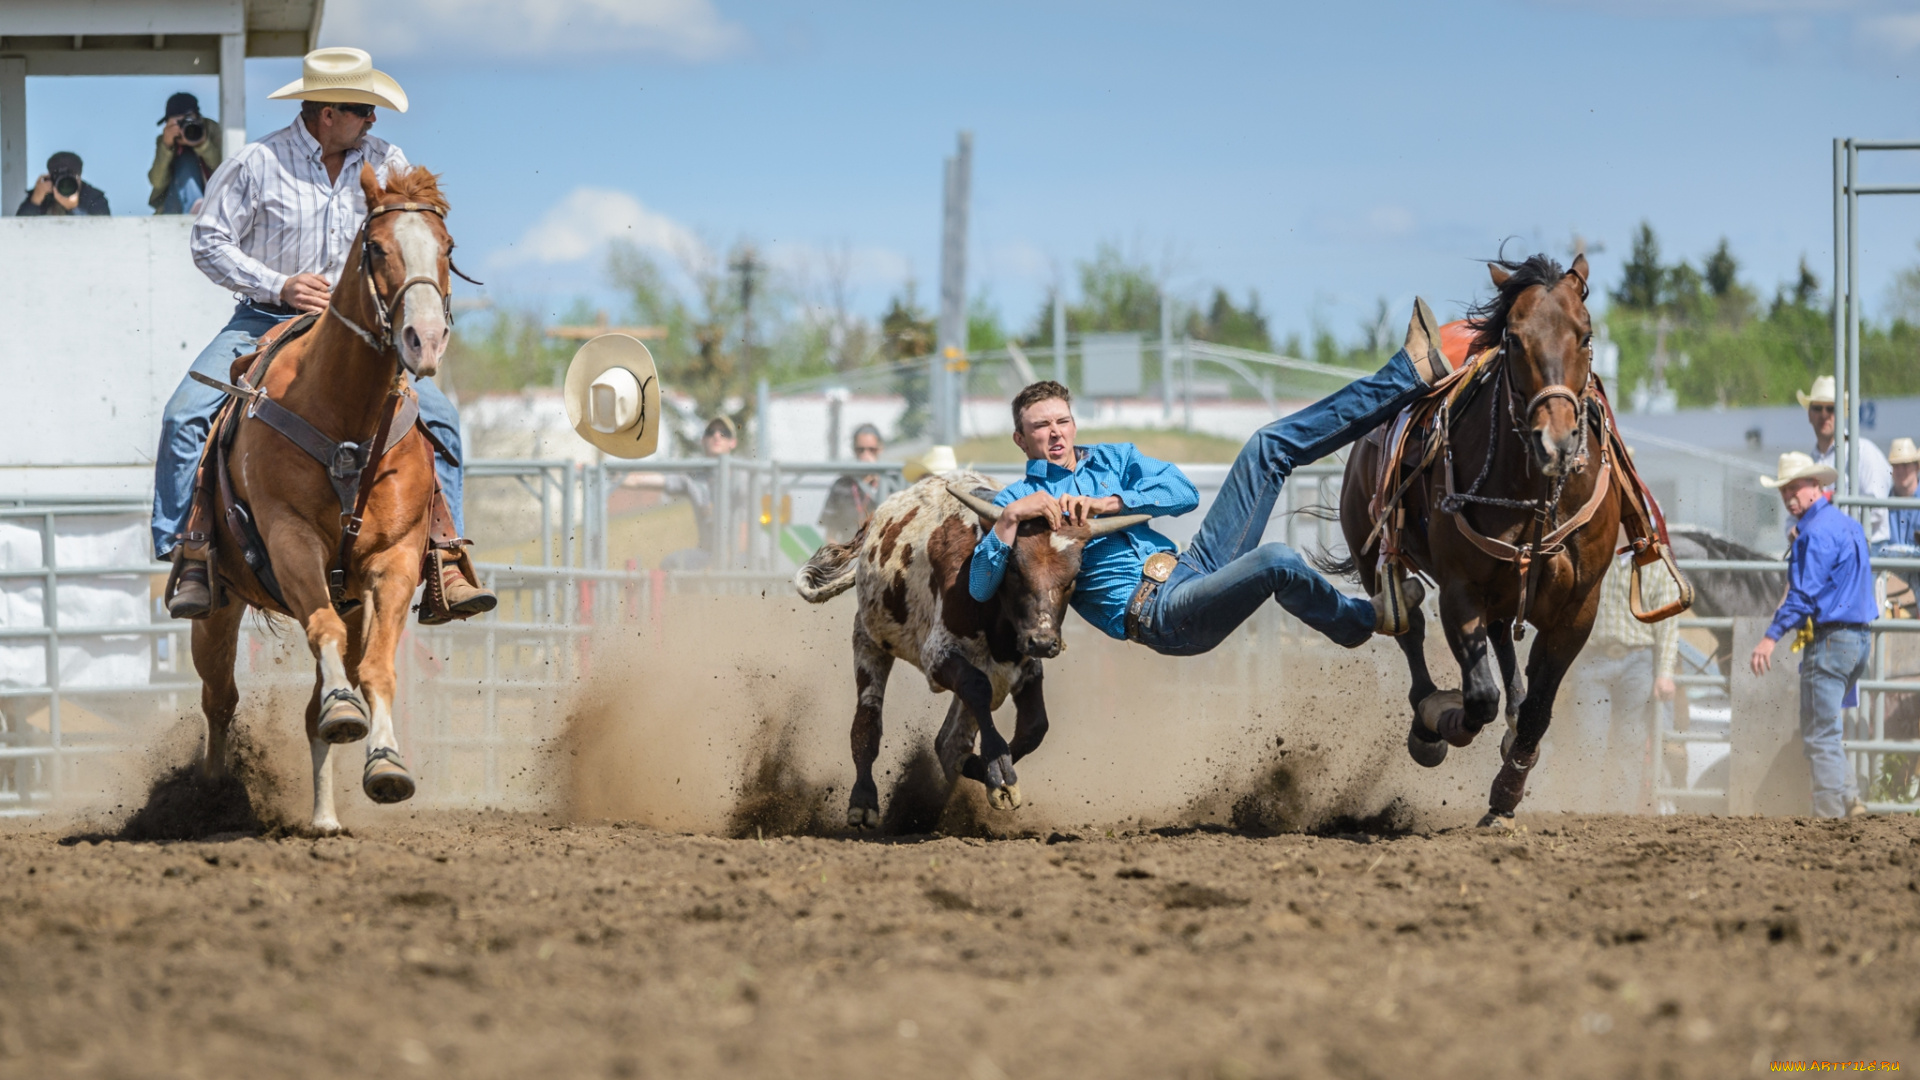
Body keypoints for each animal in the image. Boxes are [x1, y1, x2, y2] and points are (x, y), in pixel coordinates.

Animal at [193, 164, 456, 834]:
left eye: (447, 249)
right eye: (377, 248)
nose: (425, 340)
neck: (345, 418)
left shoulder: (393, 561)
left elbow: (376, 670)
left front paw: (386, 763)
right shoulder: (290, 538)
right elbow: (322, 634)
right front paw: (345, 708)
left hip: (355, 598)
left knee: (311, 707)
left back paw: (325, 818)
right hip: (217, 606)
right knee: (218, 698)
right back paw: (211, 796)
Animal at [1336, 251, 1651, 822]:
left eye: (1586, 334)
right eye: (1516, 339)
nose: (1556, 441)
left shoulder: (1580, 604)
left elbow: (1540, 707)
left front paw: (1507, 791)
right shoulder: (1461, 589)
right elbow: (1478, 694)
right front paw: (1446, 720)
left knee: (1504, 644)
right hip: (1371, 554)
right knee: (1406, 622)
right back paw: (1428, 723)